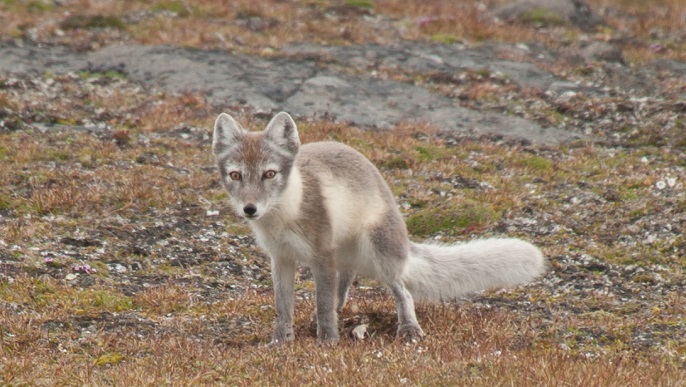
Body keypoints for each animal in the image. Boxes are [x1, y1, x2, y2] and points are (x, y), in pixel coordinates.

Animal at [212, 111, 544, 342]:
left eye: (269, 174)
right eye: (236, 175)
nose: (250, 209)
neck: (283, 216)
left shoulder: (321, 253)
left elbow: (323, 303)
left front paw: (327, 342)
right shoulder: (281, 259)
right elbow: (283, 308)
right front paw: (281, 342)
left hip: (379, 251)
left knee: (402, 292)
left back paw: (409, 330)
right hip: (347, 256)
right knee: (344, 287)